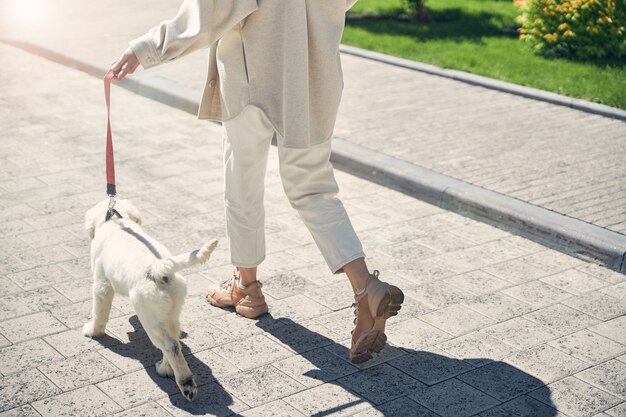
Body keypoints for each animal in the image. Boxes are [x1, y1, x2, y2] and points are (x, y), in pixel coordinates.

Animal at [84, 198, 217, 400]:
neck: (115, 221)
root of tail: (159, 267)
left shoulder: (102, 284)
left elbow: (100, 313)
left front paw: (93, 331)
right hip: (171, 311)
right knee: (174, 339)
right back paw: (165, 369)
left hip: (149, 317)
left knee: (170, 346)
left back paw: (185, 382)